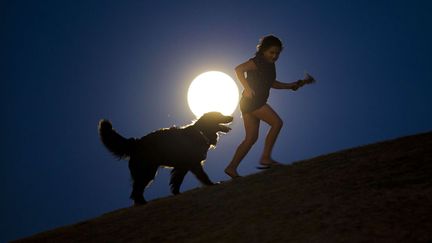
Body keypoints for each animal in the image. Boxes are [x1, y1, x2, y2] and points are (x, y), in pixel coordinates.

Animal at [98, 112, 233, 205]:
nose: (231, 117)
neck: (201, 131)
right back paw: (142, 202)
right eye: (219, 115)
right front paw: (211, 184)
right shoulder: (194, 164)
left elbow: (176, 181)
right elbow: (203, 176)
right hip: (147, 172)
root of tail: (136, 143)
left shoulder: (182, 167)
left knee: (136, 189)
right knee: (136, 190)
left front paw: (176, 193)